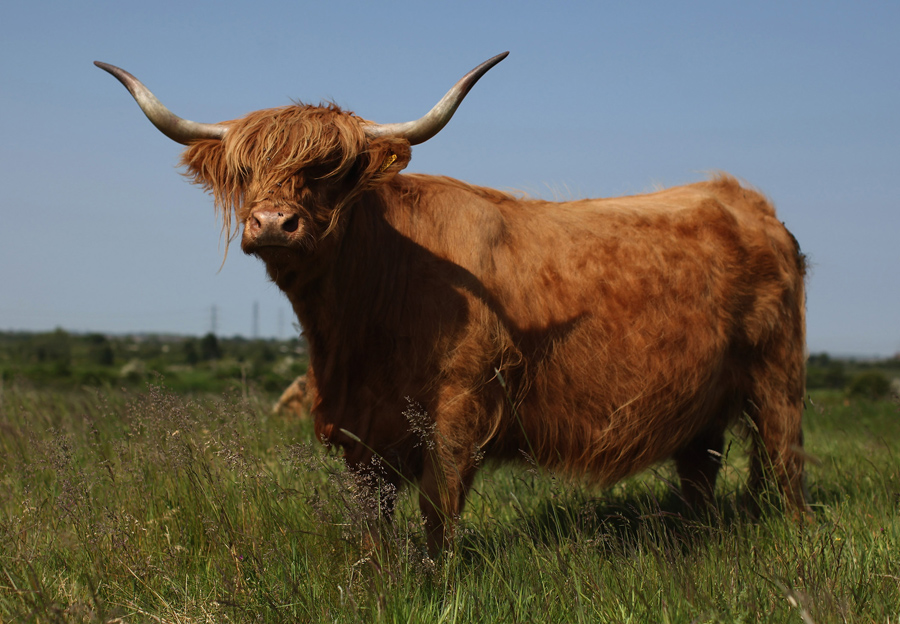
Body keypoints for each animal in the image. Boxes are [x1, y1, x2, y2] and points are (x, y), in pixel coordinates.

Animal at [96, 53, 808, 552]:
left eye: (332, 169)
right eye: (245, 173)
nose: (273, 223)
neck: (356, 322)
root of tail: (742, 198)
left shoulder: (459, 412)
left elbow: (438, 517)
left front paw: (435, 583)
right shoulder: (361, 434)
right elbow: (371, 525)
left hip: (779, 380)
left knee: (785, 468)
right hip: (702, 405)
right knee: (700, 475)